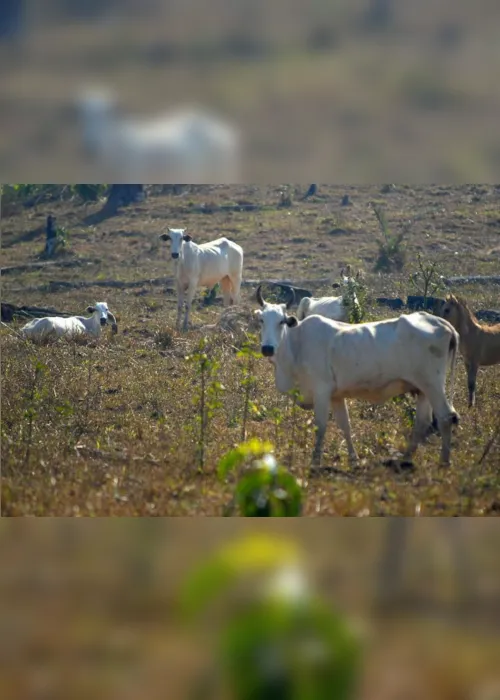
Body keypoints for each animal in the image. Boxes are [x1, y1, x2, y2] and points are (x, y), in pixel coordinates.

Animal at [256, 284, 458, 470]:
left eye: (282, 321)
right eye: (261, 320)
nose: (267, 348)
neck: (297, 344)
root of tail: (443, 324)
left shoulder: (321, 391)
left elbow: (320, 426)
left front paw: (315, 462)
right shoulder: (336, 396)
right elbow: (345, 425)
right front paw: (354, 460)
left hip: (433, 384)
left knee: (445, 417)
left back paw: (444, 461)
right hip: (422, 389)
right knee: (422, 422)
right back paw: (406, 459)